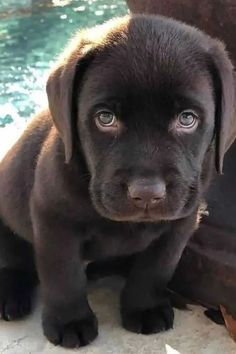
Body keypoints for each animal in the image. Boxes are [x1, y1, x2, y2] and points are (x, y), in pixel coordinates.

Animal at [0, 14, 235, 348]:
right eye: (105, 118)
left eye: (187, 119)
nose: (147, 193)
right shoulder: (53, 219)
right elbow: (63, 274)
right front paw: (70, 320)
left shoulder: (182, 222)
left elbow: (156, 267)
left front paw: (144, 307)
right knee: (12, 259)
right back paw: (10, 294)